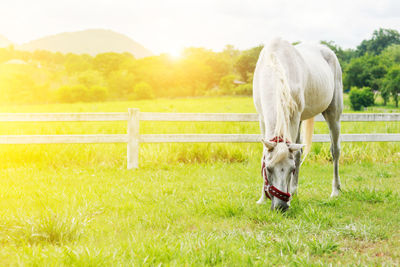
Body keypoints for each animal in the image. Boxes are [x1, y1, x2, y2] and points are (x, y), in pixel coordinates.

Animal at [255, 37, 342, 211]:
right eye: (268, 169)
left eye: (292, 170)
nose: (281, 206)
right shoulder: (262, 117)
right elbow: (265, 155)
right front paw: (262, 199)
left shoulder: (294, 117)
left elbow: (294, 156)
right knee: (300, 151)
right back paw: (294, 191)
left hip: (333, 115)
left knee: (335, 151)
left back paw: (335, 191)